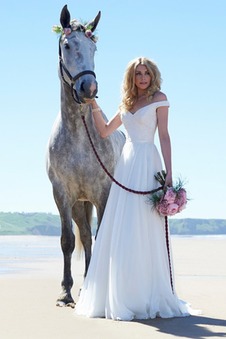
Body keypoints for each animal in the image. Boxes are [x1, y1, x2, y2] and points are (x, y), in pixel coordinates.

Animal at [45, 4, 124, 308]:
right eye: (67, 45)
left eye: (94, 47)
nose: (88, 88)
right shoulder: (62, 194)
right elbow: (68, 240)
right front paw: (65, 293)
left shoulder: (103, 193)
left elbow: (101, 238)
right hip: (81, 204)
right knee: (87, 238)